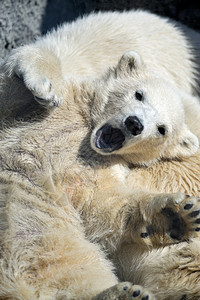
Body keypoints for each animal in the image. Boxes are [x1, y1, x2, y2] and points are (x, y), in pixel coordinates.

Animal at [1, 9, 200, 300]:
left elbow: (103, 203)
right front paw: (45, 84)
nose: (134, 124)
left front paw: (173, 215)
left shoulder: (100, 167)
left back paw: (122, 293)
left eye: (162, 129)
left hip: (45, 227)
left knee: (68, 265)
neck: (87, 130)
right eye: (138, 94)